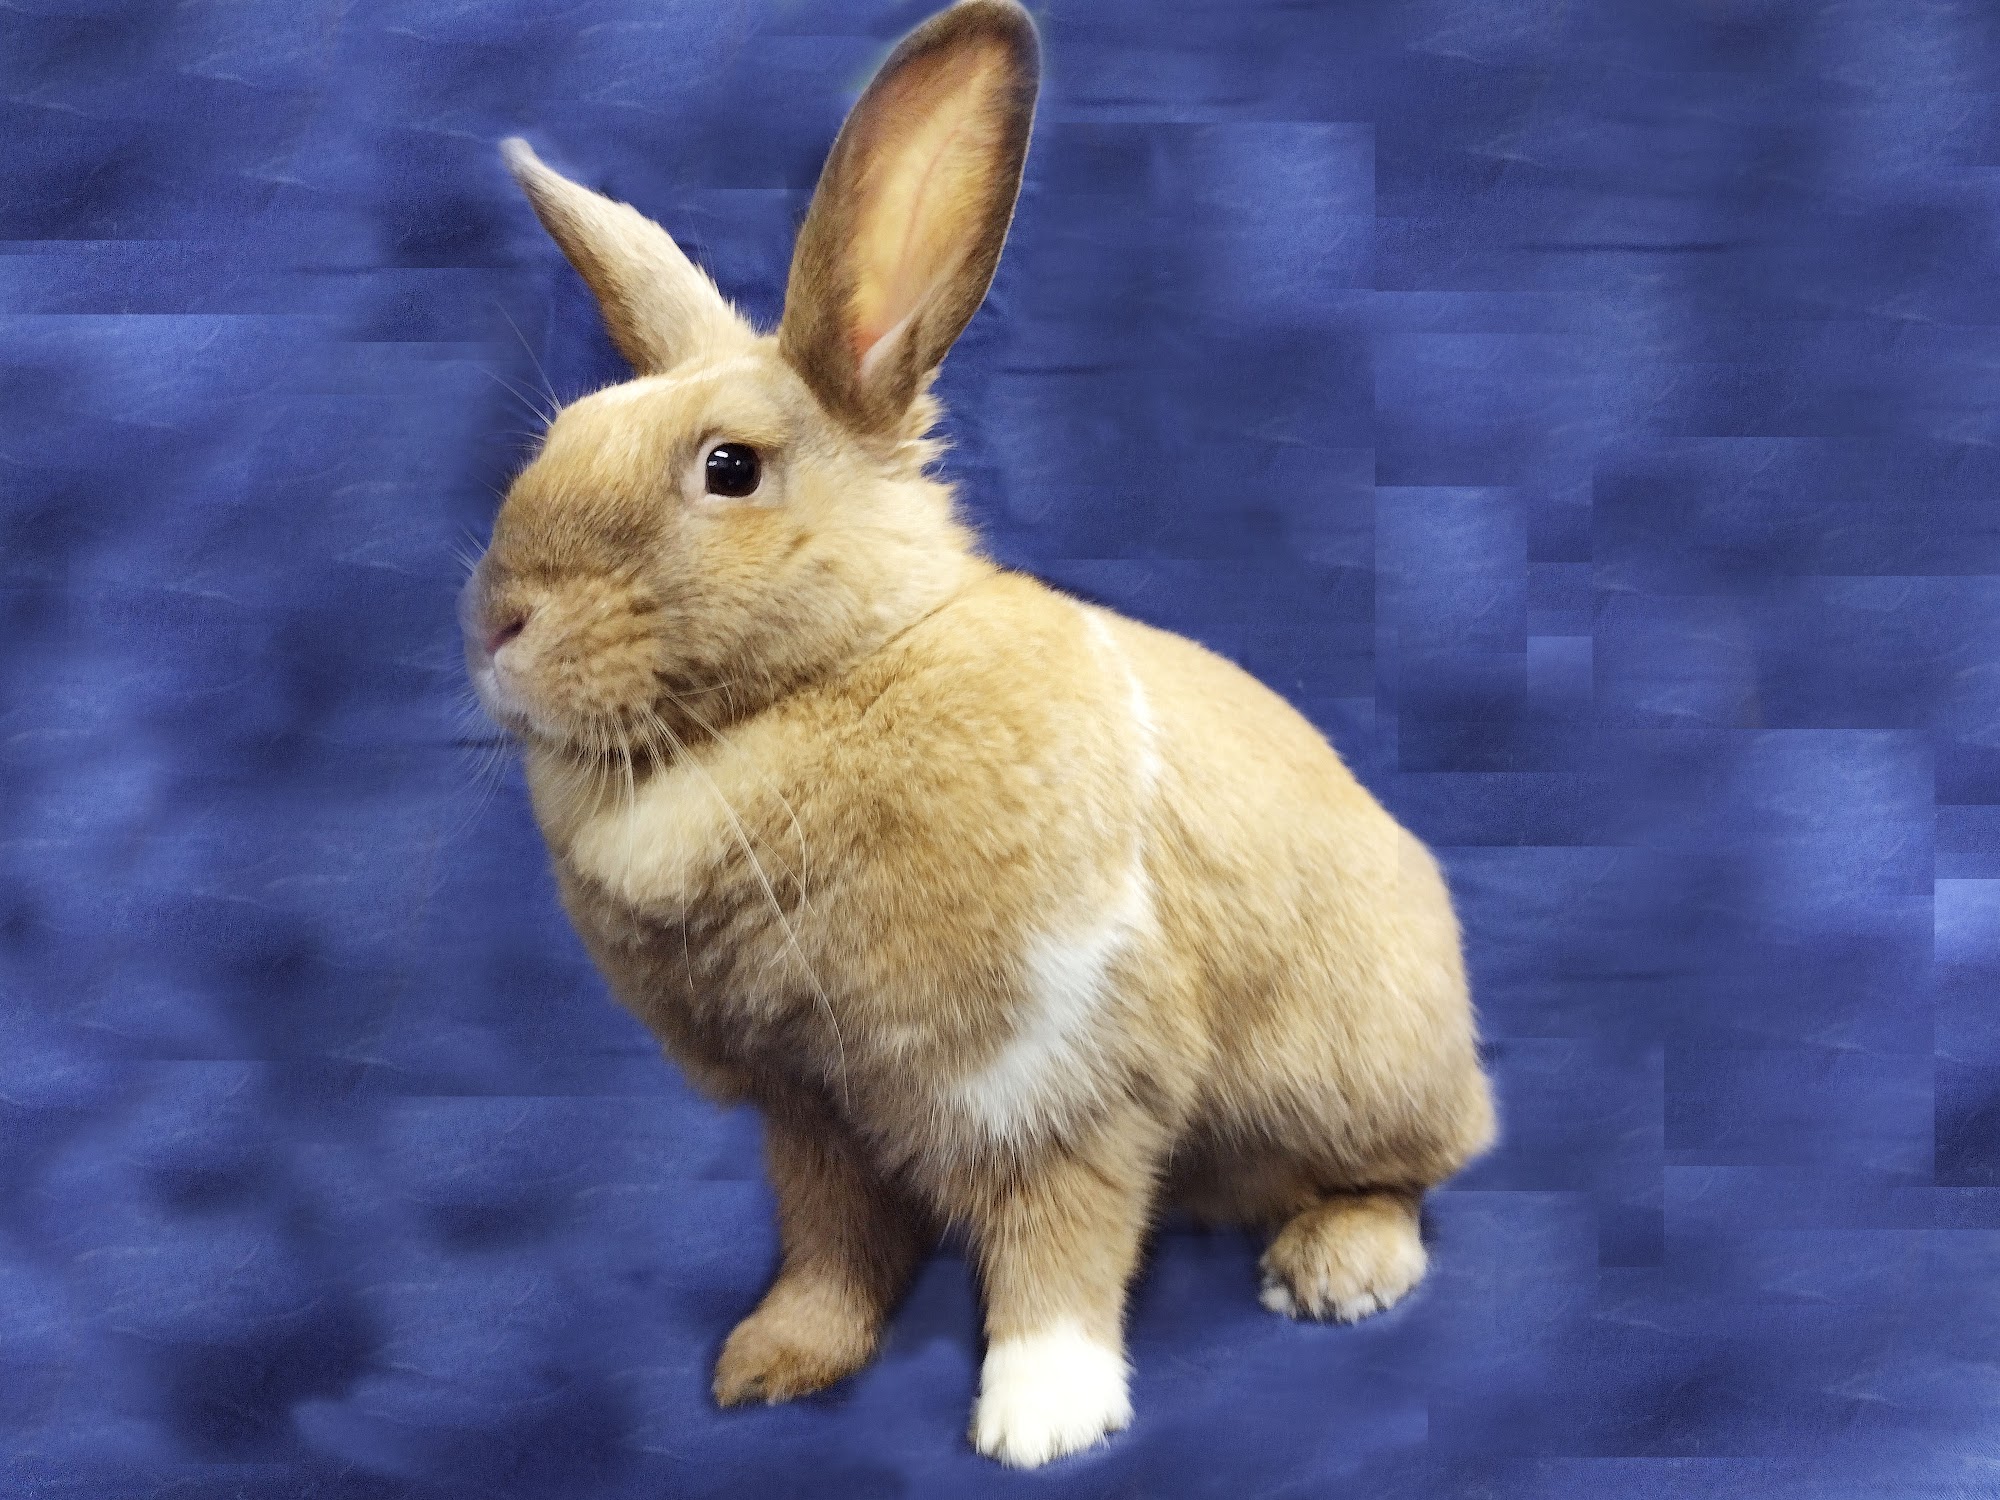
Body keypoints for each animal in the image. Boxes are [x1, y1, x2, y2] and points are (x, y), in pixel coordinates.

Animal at [463, 0, 1495, 1469]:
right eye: (561, 438)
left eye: (728, 468)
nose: (496, 623)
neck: (827, 682)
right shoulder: (811, 1113)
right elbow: (830, 1246)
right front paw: (770, 1365)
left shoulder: (1061, 1075)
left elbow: (1058, 1248)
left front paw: (1040, 1419)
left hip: (1353, 1074)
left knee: (1400, 1176)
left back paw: (1336, 1271)